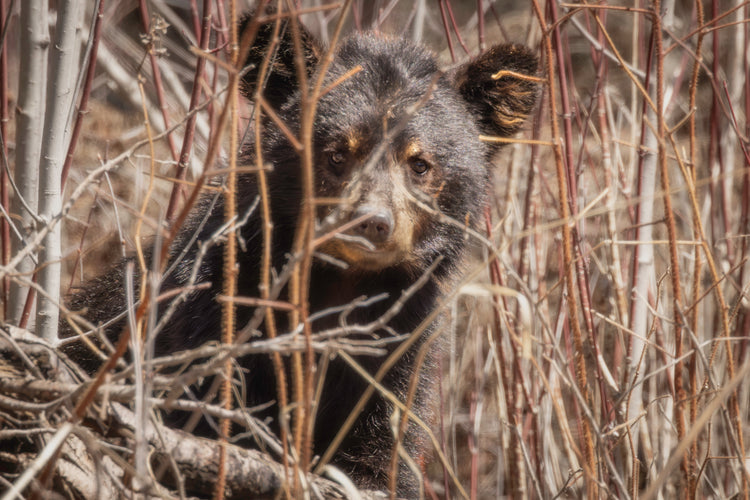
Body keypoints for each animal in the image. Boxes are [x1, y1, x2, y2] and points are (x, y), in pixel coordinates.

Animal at [60, 10, 538, 497]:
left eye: (419, 164)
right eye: (336, 154)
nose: (371, 222)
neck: (340, 283)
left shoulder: (402, 346)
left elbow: (384, 445)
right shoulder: (211, 315)